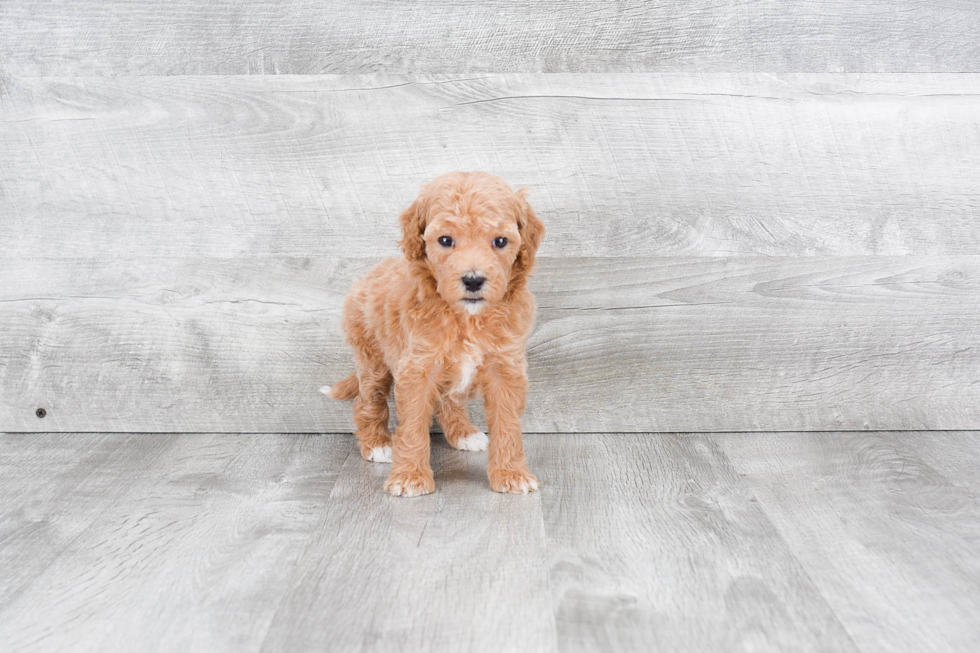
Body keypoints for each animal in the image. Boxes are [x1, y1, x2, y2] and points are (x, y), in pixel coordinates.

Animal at [326, 171, 548, 496]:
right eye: (445, 240)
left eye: (500, 241)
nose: (473, 280)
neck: (466, 318)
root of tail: (368, 275)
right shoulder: (417, 368)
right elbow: (413, 425)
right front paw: (409, 477)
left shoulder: (506, 368)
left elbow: (507, 424)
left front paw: (511, 474)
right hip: (371, 358)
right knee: (369, 399)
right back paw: (377, 444)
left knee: (448, 400)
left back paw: (464, 433)